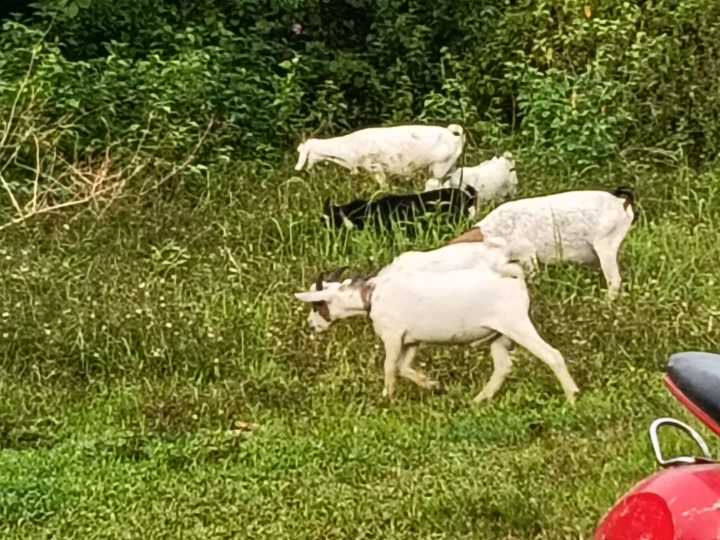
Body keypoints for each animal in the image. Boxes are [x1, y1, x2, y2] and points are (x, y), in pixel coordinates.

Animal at [294, 267, 579, 403]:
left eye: (317, 305)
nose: (311, 326)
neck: (371, 296)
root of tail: (516, 281)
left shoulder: (393, 335)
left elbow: (389, 367)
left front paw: (387, 396)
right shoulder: (412, 340)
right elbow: (404, 367)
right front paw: (432, 384)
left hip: (516, 323)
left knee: (552, 355)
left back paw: (572, 396)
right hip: (497, 334)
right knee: (503, 366)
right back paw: (479, 399)